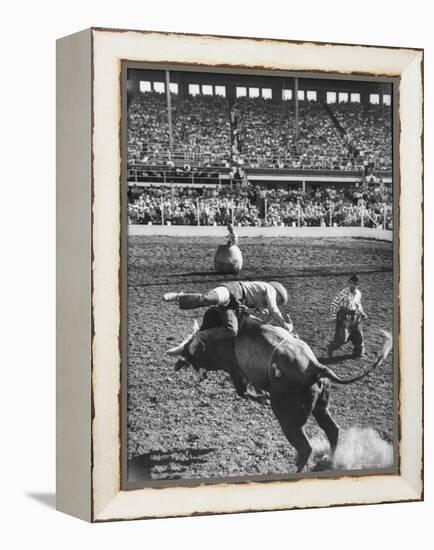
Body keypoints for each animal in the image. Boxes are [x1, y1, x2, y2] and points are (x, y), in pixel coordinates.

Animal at [166, 310, 394, 474]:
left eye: (191, 357)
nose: (197, 376)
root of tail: (315, 367)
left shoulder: (235, 371)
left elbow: (243, 391)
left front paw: (262, 398)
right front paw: (261, 395)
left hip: (288, 420)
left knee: (305, 447)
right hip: (320, 407)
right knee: (332, 430)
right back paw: (330, 459)